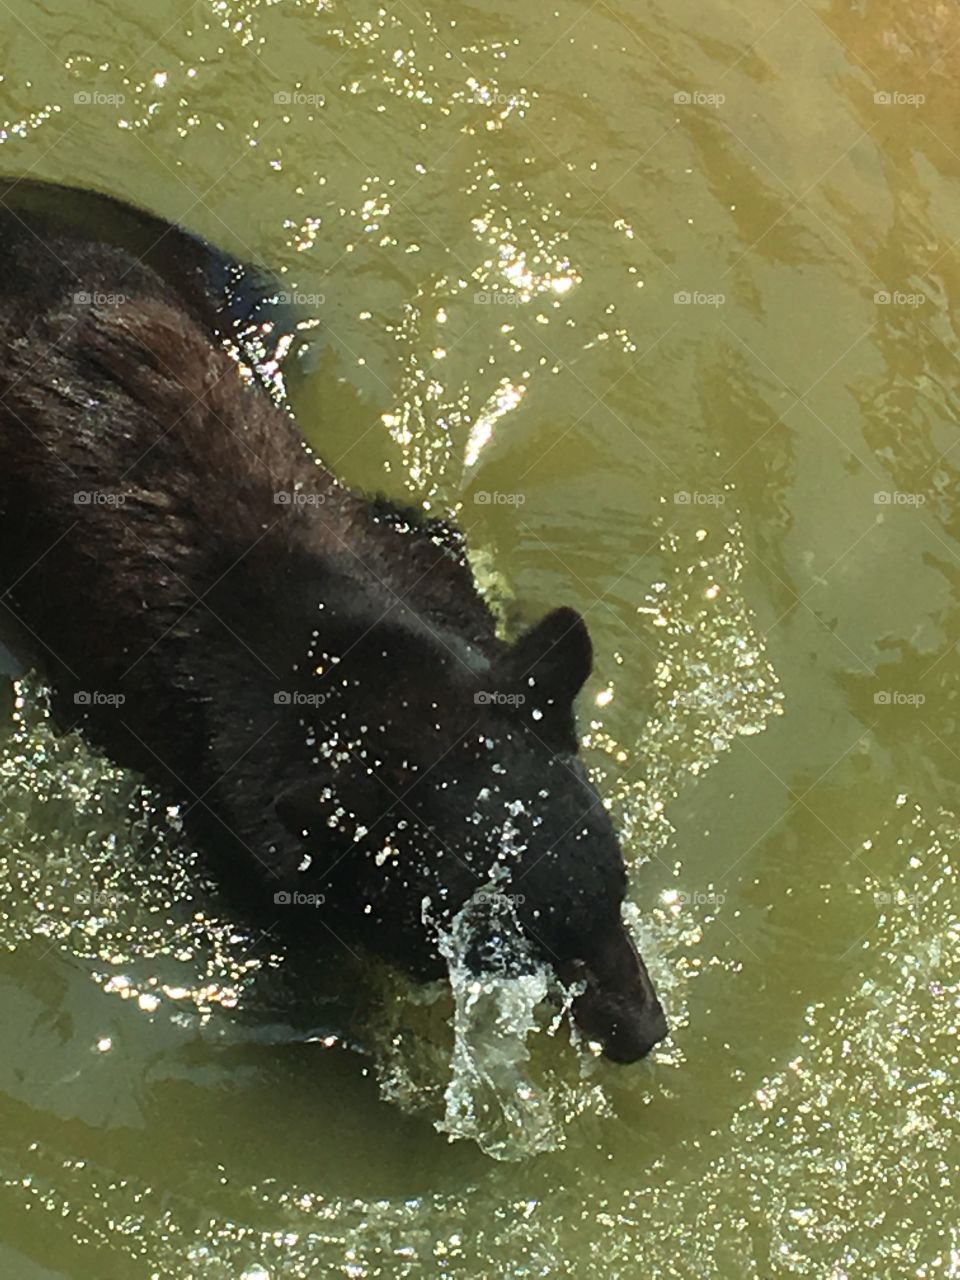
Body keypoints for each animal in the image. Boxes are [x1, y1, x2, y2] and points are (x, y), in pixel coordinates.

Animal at [0, 180, 668, 1064]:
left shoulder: (409, 558)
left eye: (612, 889)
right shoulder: (217, 805)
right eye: (500, 953)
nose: (641, 1032)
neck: (359, 664)